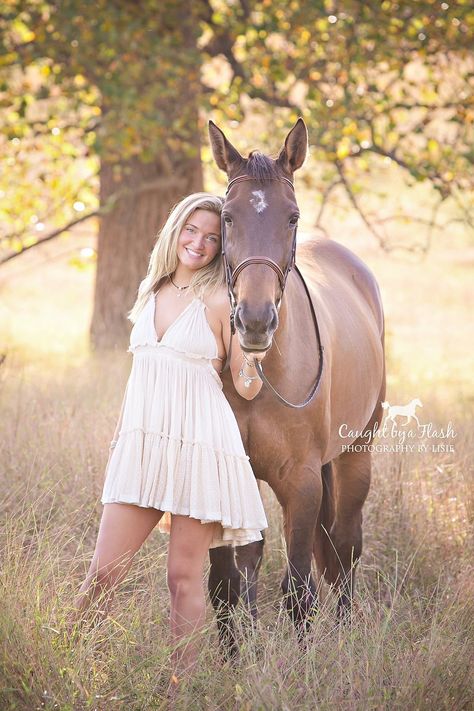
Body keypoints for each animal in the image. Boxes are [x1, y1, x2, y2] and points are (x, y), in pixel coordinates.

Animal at [207, 118, 386, 656]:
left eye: (292, 217)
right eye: (227, 217)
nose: (255, 321)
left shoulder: (303, 482)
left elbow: (299, 588)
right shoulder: (231, 474)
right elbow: (229, 577)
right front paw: (234, 657)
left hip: (356, 453)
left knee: (345, 544)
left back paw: (346, 632)